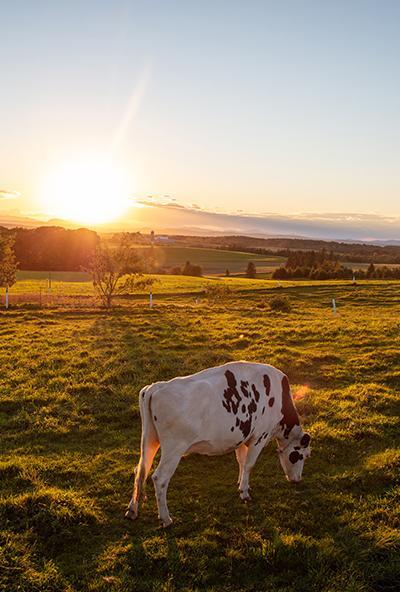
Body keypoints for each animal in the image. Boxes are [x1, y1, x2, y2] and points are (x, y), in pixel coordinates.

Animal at [124, 360, 310, 528]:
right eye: (300, 456)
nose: (298, 480)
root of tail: (156, 387)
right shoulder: (259, 436)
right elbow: (249, 464)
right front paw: (245, 493)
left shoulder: (242, 437)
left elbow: (241, 461)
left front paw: (240, 484)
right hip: (174, 448)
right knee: (159, 478)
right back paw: (166, 519)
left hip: (148, 440)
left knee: (140, 470)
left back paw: (132, 511)